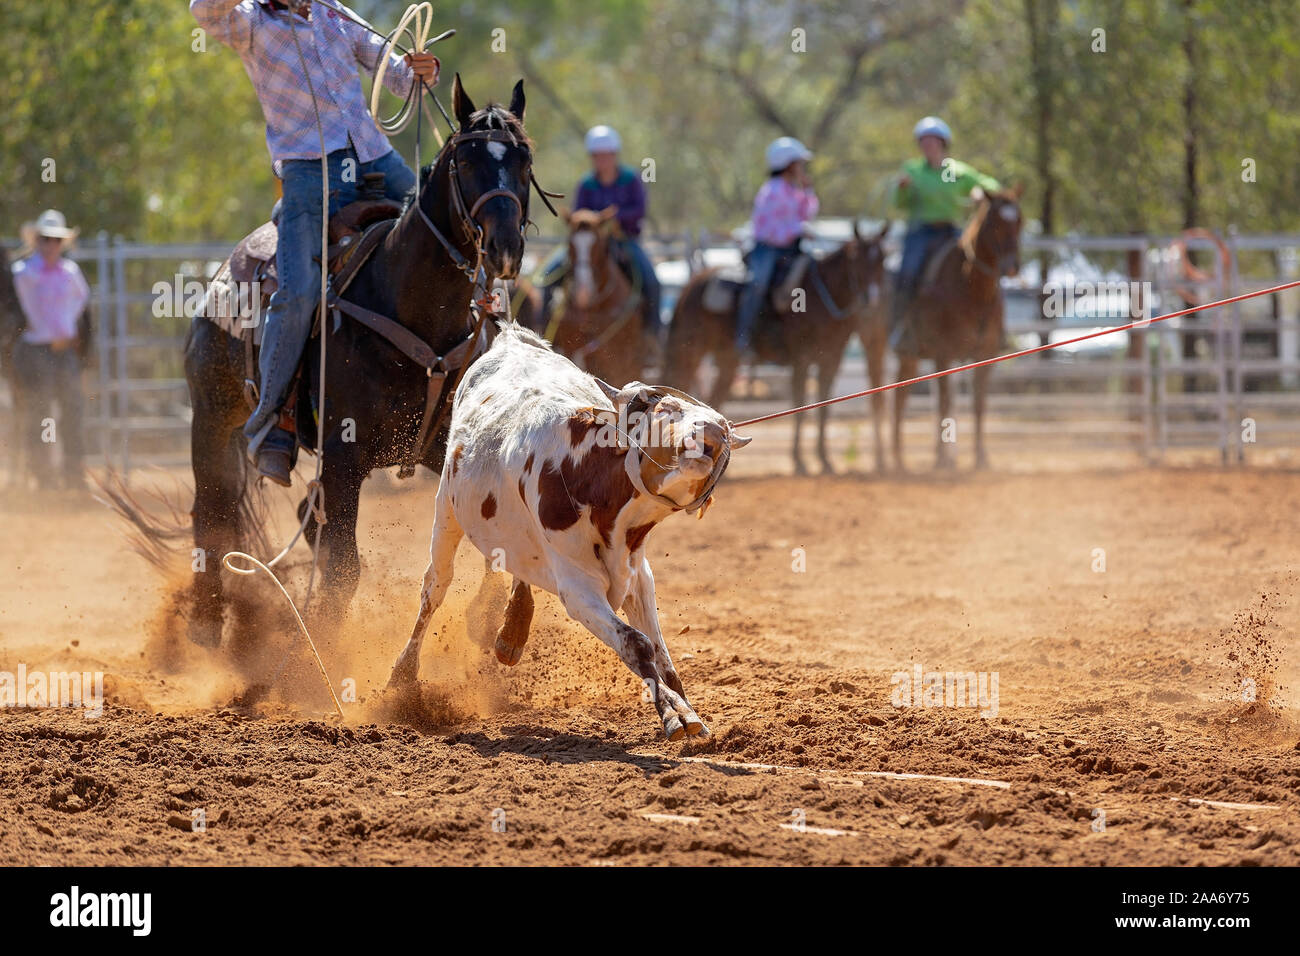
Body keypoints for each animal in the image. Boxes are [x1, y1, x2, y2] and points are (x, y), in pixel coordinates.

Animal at [387, 321, 751, 739]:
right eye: (665, 408)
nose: (715, 429)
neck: (588, 475)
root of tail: (511, 338)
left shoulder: (638, 575)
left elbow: (663, 658)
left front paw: (688, 712)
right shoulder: (578, 589)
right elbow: (638, 645)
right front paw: (674, 715)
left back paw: (511, 631)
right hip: (446, 507)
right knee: (435, 586)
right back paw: (403, 674)